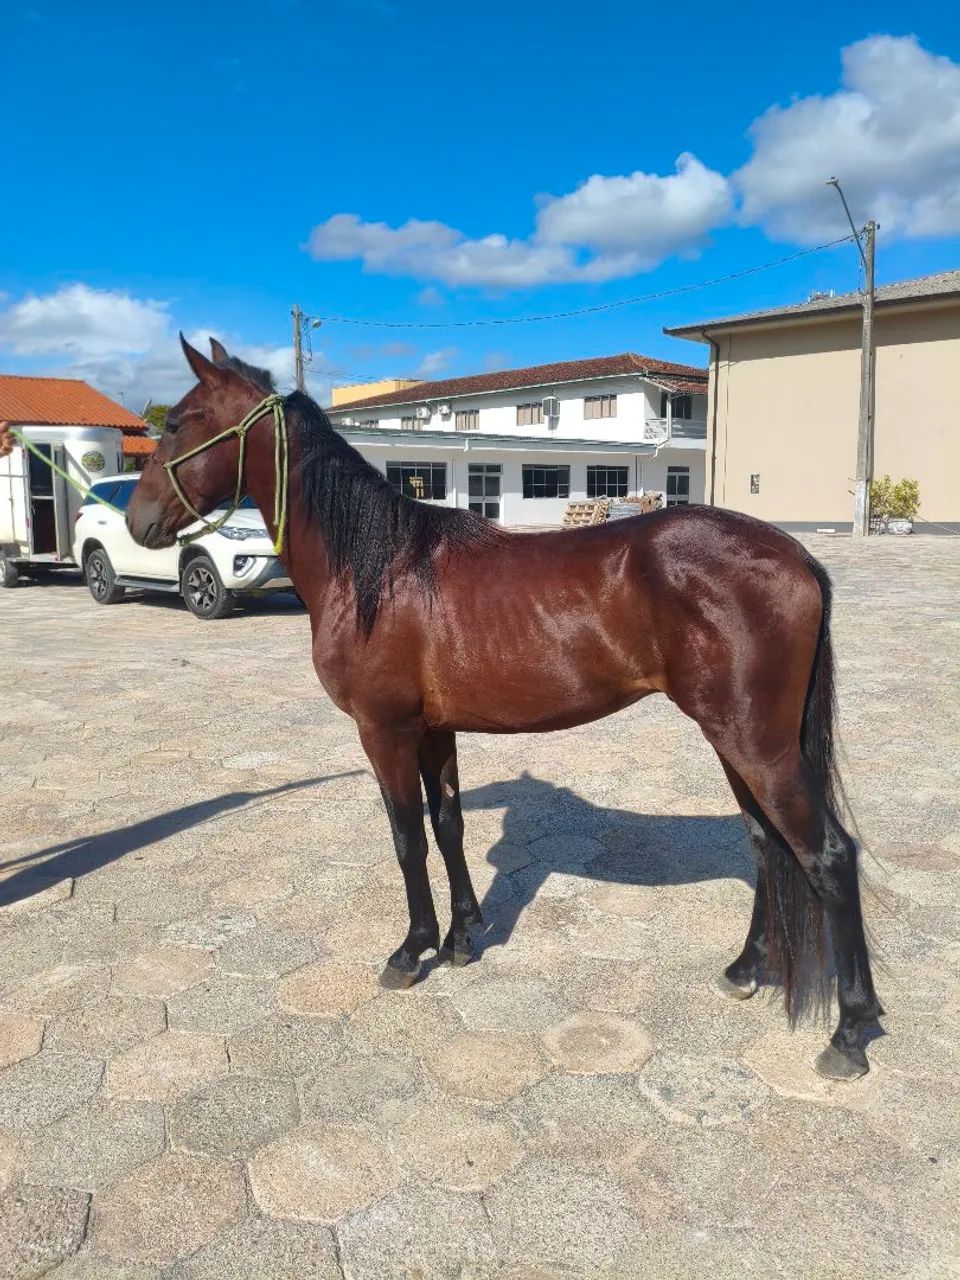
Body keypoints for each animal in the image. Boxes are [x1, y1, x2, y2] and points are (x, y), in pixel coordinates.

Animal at [125, 336, 884, 1081]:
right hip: (735, 742)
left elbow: (406, 837)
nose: (136, 522)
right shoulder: (434, 731)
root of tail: (796, 557)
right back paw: (746, 970)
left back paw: (848, 1034)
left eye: (179, 422)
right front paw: (464, 937)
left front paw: (412, 951)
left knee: (827, 854)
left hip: (759, 746)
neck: (376, 570)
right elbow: (447, 825)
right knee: (766, 844)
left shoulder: (384, 731)